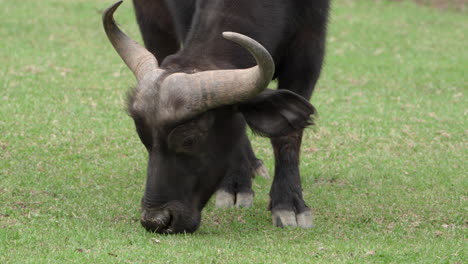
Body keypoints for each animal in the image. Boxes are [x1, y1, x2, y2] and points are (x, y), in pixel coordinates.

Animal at [102, 0, 330, 233]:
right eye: (144, 137)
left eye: (189, 139)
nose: (156, 220)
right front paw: (235, 185)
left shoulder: (309, 49)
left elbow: (288, 136)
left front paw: (289, 203)